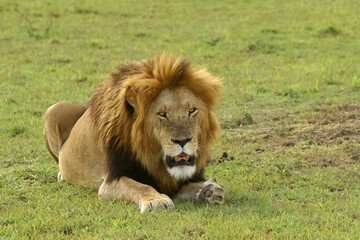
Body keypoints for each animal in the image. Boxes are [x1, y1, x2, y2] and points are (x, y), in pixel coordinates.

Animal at [44, 54, 225, 212]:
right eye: (162, 114)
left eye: (192, 110)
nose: (182, 141)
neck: (150, 156)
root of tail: (86, 107)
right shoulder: (111, 180)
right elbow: (140, 187)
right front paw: (156, 200)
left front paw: (209, 190)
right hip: (52, 110)